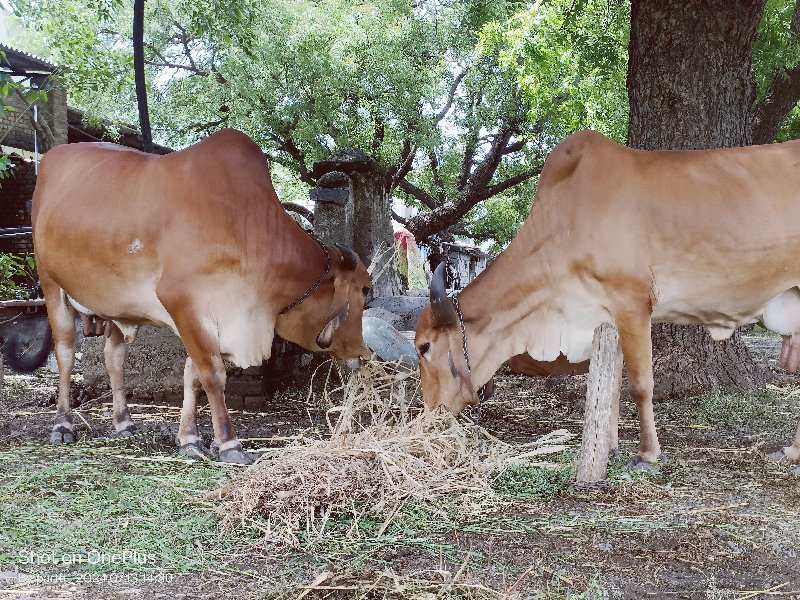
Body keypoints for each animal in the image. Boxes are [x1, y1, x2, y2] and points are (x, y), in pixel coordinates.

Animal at [33, 129, 372, 464]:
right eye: (366, 290)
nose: (365, 353)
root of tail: (54, 155)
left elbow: (192, 376)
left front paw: (189, 439)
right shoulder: (185, 304)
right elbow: (212, 374)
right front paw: (229, 443)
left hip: (118, 306)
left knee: (113, 356)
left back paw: (124, 423)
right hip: (52, 285)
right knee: (65, 353)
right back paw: (62, 425)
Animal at [416, 131, 800, 474]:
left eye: (424, 347)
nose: (428, 412)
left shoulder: (632, 302)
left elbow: (640, 385)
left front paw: (647, 455)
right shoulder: (606, 318)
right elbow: (610, 387)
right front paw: (609, 447)